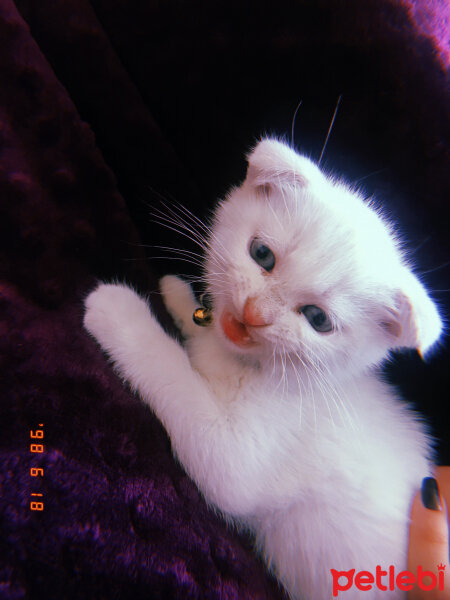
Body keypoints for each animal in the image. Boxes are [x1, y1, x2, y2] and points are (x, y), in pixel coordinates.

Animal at [84, 138, 442, 596]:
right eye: (262, 254)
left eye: (318, 319)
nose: (254, 314)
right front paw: (184, 300)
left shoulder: (242, 455)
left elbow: (177, 381)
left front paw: (118, 310)